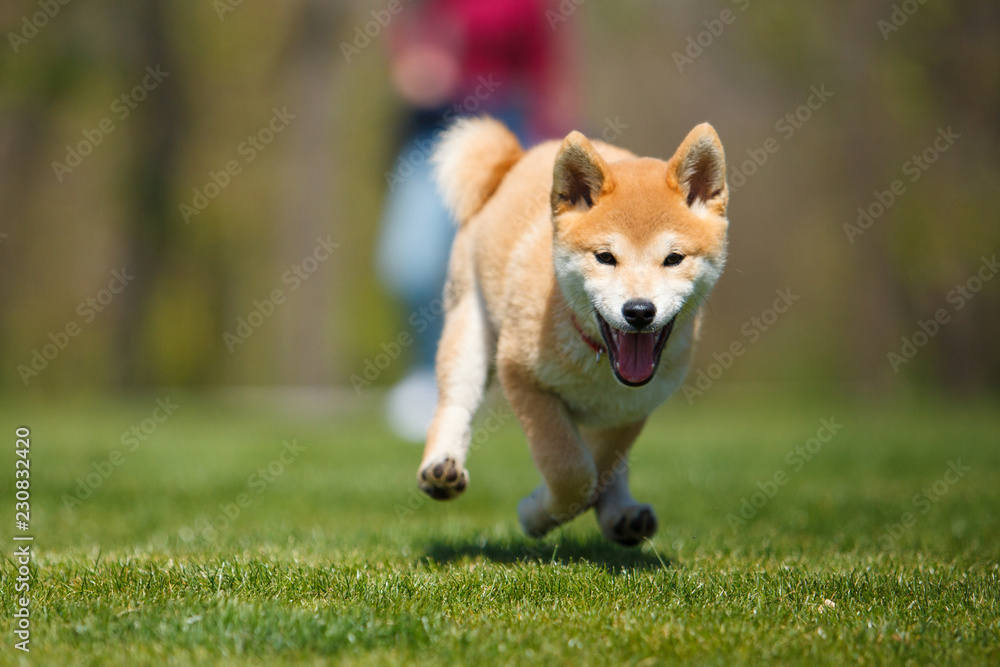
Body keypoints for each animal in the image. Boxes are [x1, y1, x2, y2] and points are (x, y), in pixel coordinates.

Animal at [414, 117, 728, 544]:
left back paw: (622, 513)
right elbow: (572, 471)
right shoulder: (522, 376)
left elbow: (603, 465)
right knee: (456, 402)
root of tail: (518, 158)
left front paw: (588, 506)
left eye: (674, 258)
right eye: (605, 257)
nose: (639, 311)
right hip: (468, 328)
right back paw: (441, 465)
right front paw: (536, 514)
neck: (596, 357)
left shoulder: (632, 407)